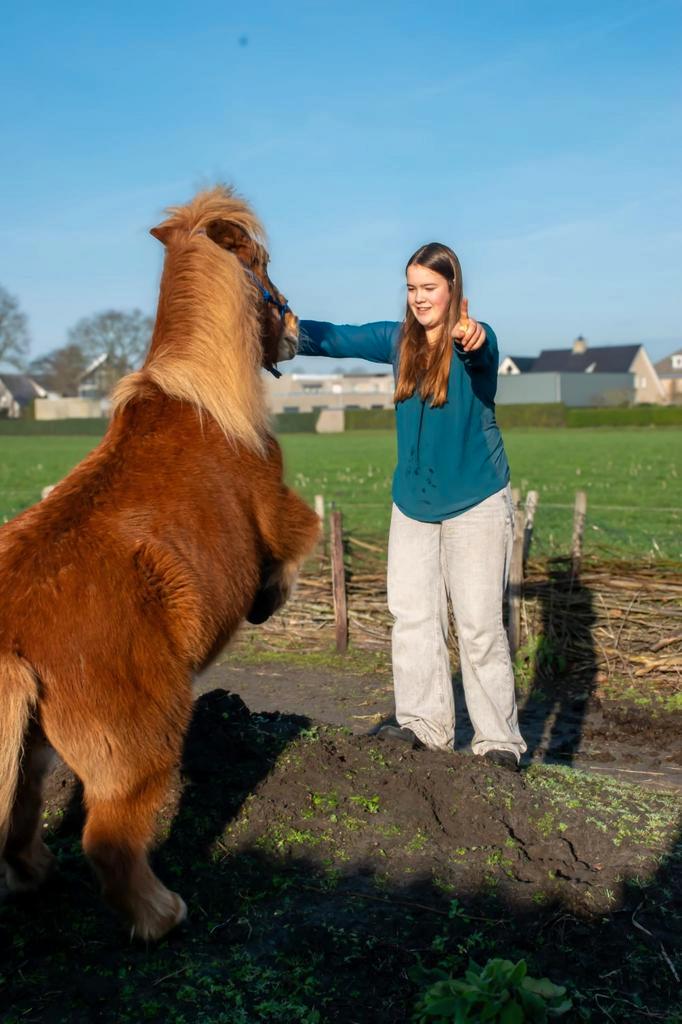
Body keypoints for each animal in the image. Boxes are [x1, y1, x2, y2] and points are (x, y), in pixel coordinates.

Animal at [0, 186, 321, 941]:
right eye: (263, 267)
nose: (298, 326)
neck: (198, 396)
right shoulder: (281, 509)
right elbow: (301, 543)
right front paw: (268, 599)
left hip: (31, 746)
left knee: (21, 822)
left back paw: (36, 877)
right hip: (141, 744)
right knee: (110, 842)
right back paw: (161, 914)